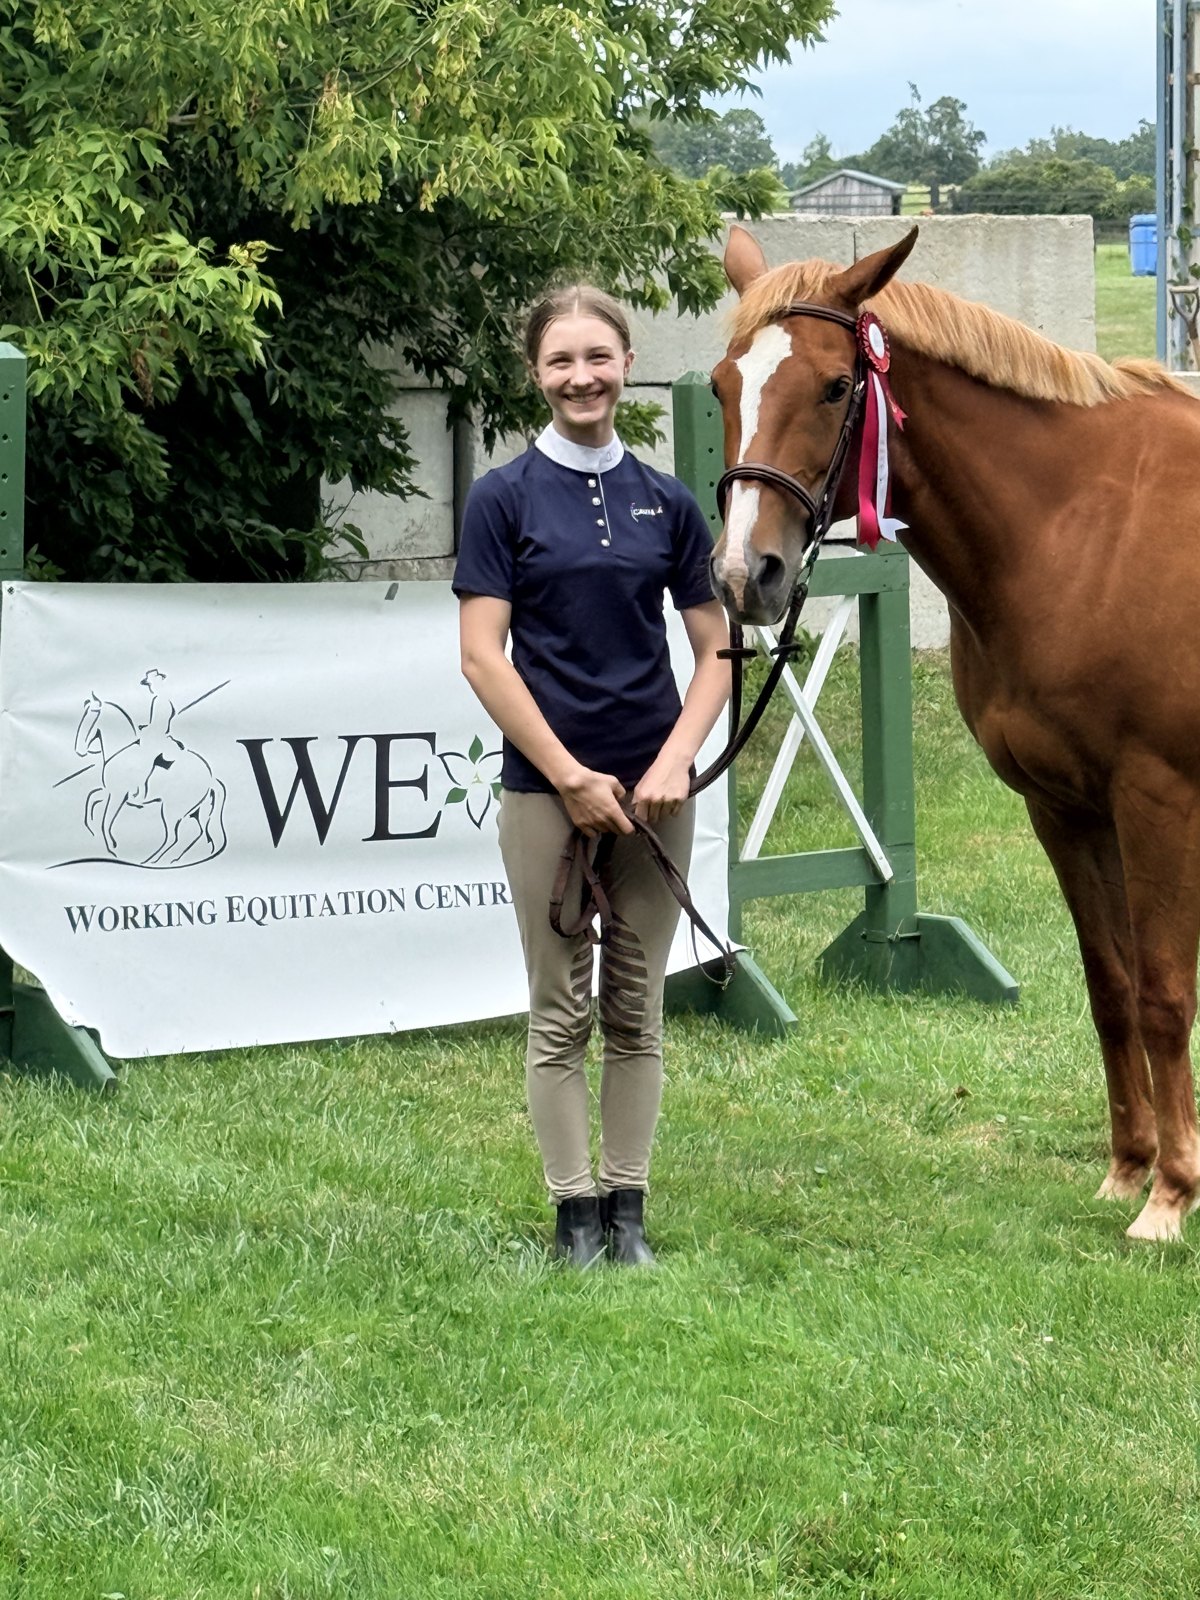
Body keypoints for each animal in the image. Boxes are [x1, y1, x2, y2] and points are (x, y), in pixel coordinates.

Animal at [708, 223, 1200, 1243]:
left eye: (834, 386)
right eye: (722, 386)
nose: (745, 574)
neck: (1080, 530)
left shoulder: (1160, 802)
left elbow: (1166, 994)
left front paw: (1171, 1198)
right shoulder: (1064, 809)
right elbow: (1111, 987)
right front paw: (1128, 1171)